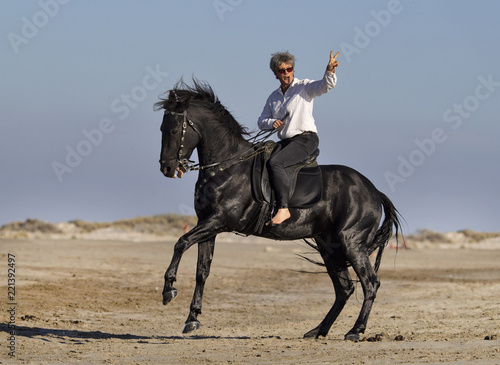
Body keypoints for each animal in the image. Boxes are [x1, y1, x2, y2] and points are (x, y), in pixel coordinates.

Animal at [154, 79, 400, 342]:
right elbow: (202, 270)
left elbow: (180, 242)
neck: (226, 166)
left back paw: (355, 330)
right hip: (329, 246)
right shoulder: (208, 224)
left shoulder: (219, 221)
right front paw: (192, 318)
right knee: (344, 288)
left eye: (173, 130)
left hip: (351, 243)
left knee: (370, 283)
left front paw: (169, 290)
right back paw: (318, 330)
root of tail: (374, 191)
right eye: (162, 128)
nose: (167, 168)